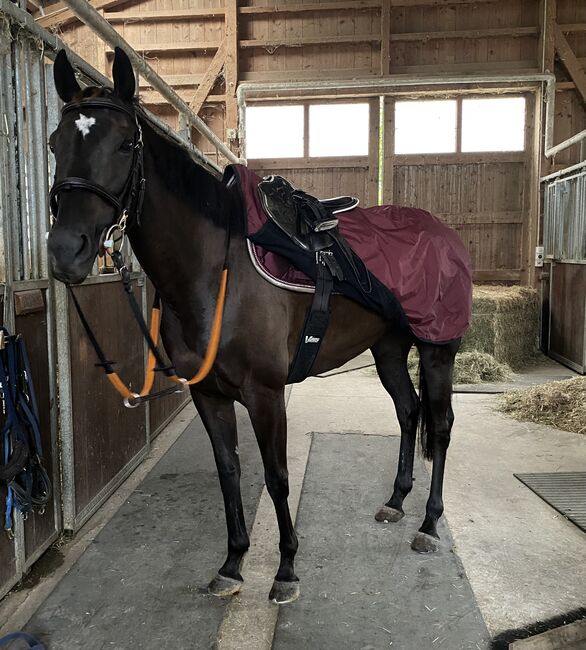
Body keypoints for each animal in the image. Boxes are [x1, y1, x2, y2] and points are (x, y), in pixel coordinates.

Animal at [46, 48, 460, 604]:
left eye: (125, 143)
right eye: (55, 143)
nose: (65, 251)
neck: (215, 274)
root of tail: (445, 234)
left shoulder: (265, 395)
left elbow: (277, 476)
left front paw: (285, 569)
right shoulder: (209, 395)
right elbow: (230, 471)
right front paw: (233, 563)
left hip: (438, 350)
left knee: (440, 425)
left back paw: (429, 524)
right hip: (389, 348)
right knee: (408, 411)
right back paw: (396, 501)